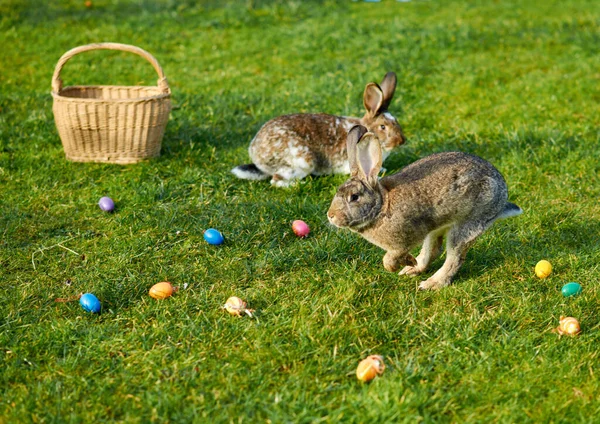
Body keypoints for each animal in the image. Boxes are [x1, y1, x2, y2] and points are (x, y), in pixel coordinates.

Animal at [232, 72, 406, 186]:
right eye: (383, 127)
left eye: (396, 121)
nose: (401, 141)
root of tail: (257, 156)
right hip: (303, 160)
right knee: (276, 180)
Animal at [326, 125, 524, 288]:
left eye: (354, 197)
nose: (330, 215)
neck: (381, 206)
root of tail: (502, 197)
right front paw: (409, 262)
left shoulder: (404, 239)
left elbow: (390, 259)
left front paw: (400, 263)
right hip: (436, 226)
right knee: (434, 249)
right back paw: (412, 269)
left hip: (468, 225)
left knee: (454, 257)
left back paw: (431, 284)